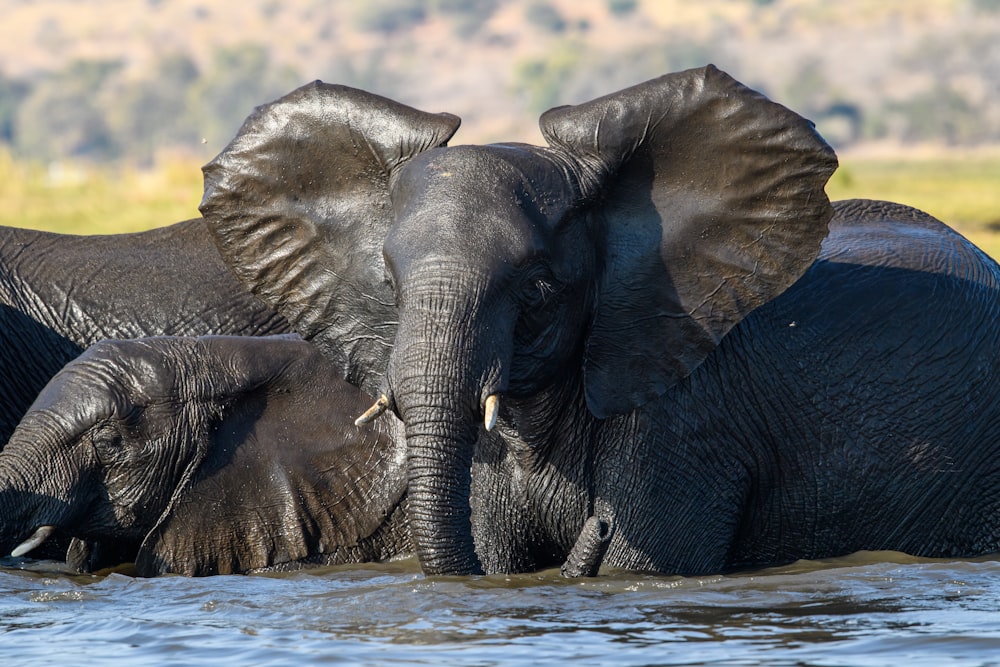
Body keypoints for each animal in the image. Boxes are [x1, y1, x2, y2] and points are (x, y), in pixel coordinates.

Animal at [199, 66, 1000, 580]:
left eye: (537, 286)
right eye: (390, 283)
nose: (597, 521)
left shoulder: (689, 417)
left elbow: (642, 563)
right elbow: (495, 555)